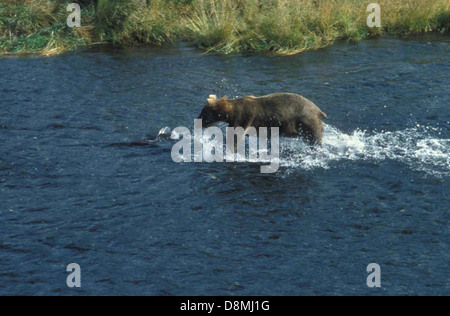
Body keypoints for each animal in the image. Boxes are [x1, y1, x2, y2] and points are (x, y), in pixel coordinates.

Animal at [197, 92, 326, 145]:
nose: (197, 122)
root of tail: (319, 110)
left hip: (307, 120)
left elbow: (235, 135)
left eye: (203, 113)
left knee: (315, 136)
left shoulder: (244, 117)